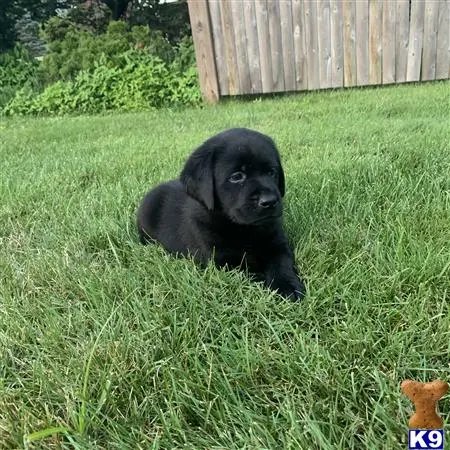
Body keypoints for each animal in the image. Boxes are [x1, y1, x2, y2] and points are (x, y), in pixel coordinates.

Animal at [137, 128, 306, 300]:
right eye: (236, 177)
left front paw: (287, 285)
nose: (269, 201)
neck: (242, 228)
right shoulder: (222, 262)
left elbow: (282, 263)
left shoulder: (277, 243)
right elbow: (250, 273)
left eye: (272, 172)